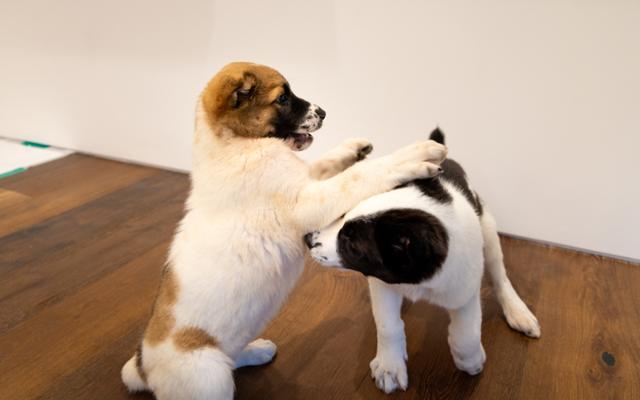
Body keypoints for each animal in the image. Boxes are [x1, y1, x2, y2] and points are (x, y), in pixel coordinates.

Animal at [122, 62, 448, 400]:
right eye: (282, 98)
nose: (324, 112)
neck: (235, 144)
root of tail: (144, 368)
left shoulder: (306, 178)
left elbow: (326, 162)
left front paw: (354, 148)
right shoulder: (307, 202)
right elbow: (360, 176)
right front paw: (412, 157)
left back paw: (257, 351)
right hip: (209, 377)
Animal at [304, 129, 540, 394]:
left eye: (351, 244)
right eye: (344, 214)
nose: (308, 239)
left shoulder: (464, 287)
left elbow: (467, 333)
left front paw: (470, 359)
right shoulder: (382, 284)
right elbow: (388, 325)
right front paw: (390, 366)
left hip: (488, 230)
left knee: (499, 274)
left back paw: (517, 311)